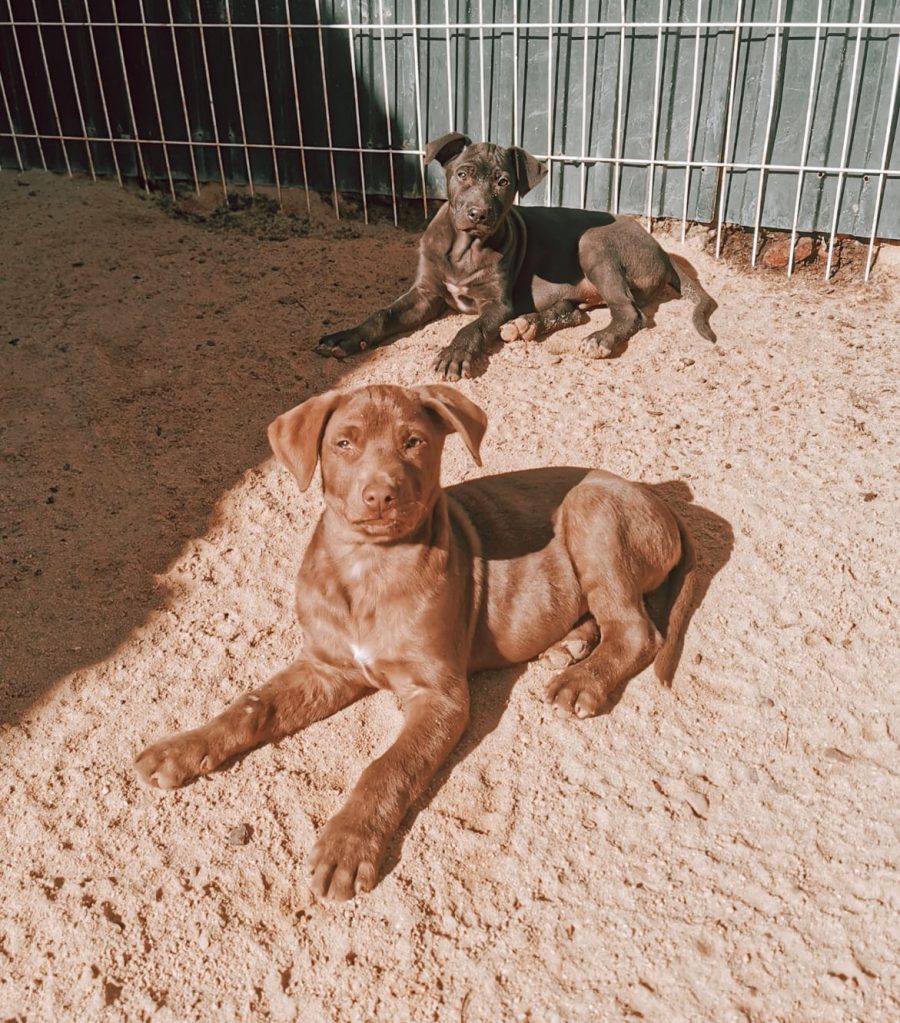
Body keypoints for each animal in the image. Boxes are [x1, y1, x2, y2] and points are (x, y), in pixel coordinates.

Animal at [134, 385, 696, 900]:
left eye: (414, 442)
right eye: (343, 443)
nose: (380, 495)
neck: (367, 565)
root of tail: (657, 498)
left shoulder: (439, 695)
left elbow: (387, 767)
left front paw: (347, 844)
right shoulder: (326, 668)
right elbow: (251, 706)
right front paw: (183, 747)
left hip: (591, 510)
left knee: (636, 628)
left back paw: (583, 679)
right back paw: (572, 643)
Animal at [315, 134, 717, 379]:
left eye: (503, 182)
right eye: (462, 174)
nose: (478, 214)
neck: (464, 248)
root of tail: (661, 250)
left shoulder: (498, 303)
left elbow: (472, 326)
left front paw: (454, 354)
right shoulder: (425, 294)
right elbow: (382, 314)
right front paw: (347, 338)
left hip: (593, 243)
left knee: (630, 313)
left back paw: (598, 339)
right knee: (574, 311)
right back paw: (529, 325)